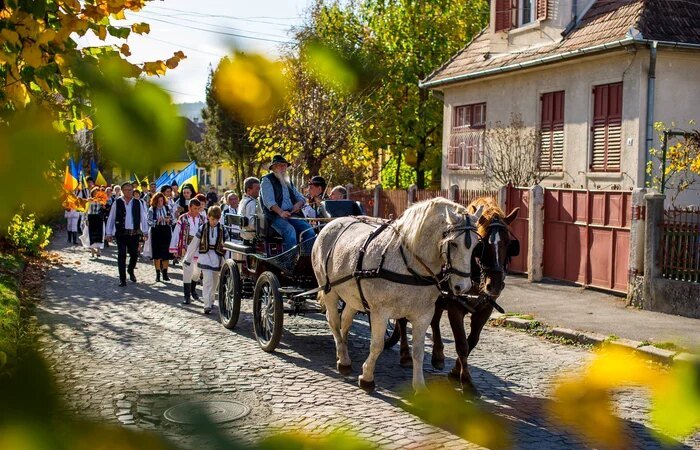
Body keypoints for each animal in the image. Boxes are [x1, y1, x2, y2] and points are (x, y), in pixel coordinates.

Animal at [312, 199, 482, 392]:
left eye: (476, 245)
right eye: (453, 243)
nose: (463, 286)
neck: (410, 265)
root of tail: (330, 224)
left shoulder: (424, 315)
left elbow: (418, 352)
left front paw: (420, 387)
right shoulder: (380, 312)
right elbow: (377, 345)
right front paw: (367, 377)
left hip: (352, 296)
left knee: (345, 321)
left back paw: (344, 355)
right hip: (329, 290)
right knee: (333, 320)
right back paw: (343, 357)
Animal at [396, 199, 516, 396]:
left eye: (508, 243)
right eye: (482, 245)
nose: (495, 285)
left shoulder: (485, 310)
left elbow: (472, 342)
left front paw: (455, 371)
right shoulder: (454, 308)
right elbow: (461, 344)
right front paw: (466, 381)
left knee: (434, 321)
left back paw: (438, 355)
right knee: (402, 320)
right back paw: (406, 354)